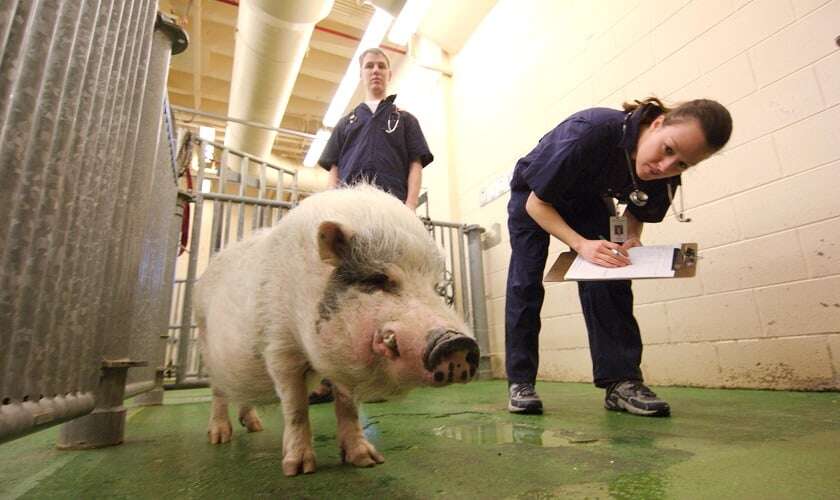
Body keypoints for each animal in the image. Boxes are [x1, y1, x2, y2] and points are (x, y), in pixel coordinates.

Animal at [193, 184, 480, 476]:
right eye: (378, 279)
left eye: (436, 287)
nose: (455, 342)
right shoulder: (280, 347)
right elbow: (296, 408)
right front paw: (298, 469)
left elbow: (348, 407)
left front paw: (368, 460)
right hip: (205, 345)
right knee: (218, 392)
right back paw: (219, 438)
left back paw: (255, 427)